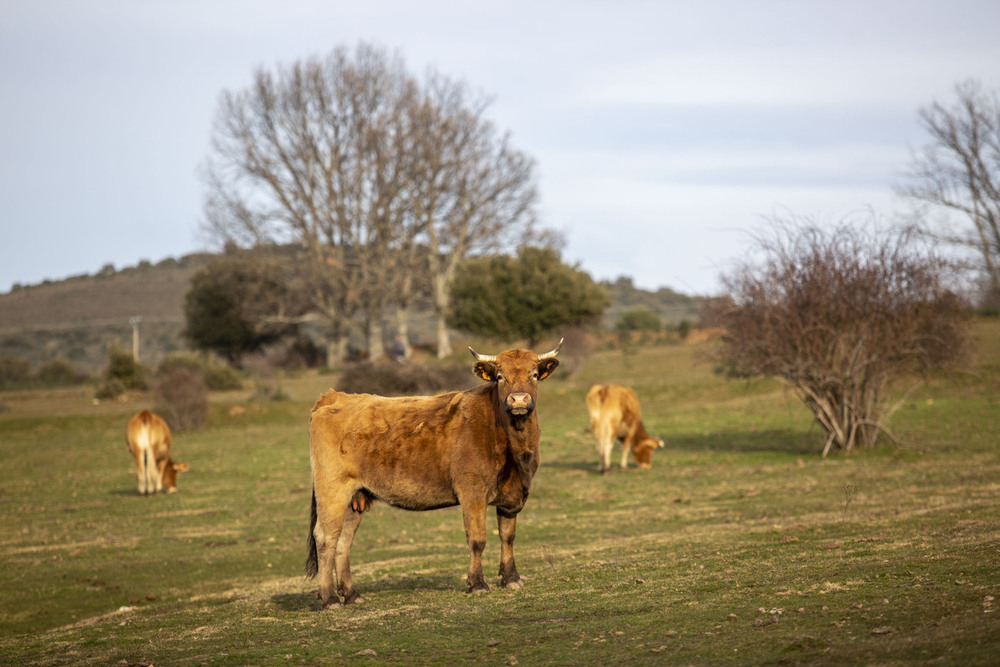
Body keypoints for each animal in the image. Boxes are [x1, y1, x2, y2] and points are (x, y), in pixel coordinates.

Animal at [302, 342, 564, 608]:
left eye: (534, 375)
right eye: (500, 377)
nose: (519, 399)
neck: (514, 448)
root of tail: (336, 396)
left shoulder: (512, 496)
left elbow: (507, 536)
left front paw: (511, 578)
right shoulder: (472, 491)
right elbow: (477, 539)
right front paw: (477, 583)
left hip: (356, 497)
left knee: (343, 542)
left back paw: (351, 594)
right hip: (333, 490)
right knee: (326, 537)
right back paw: (330, 598)